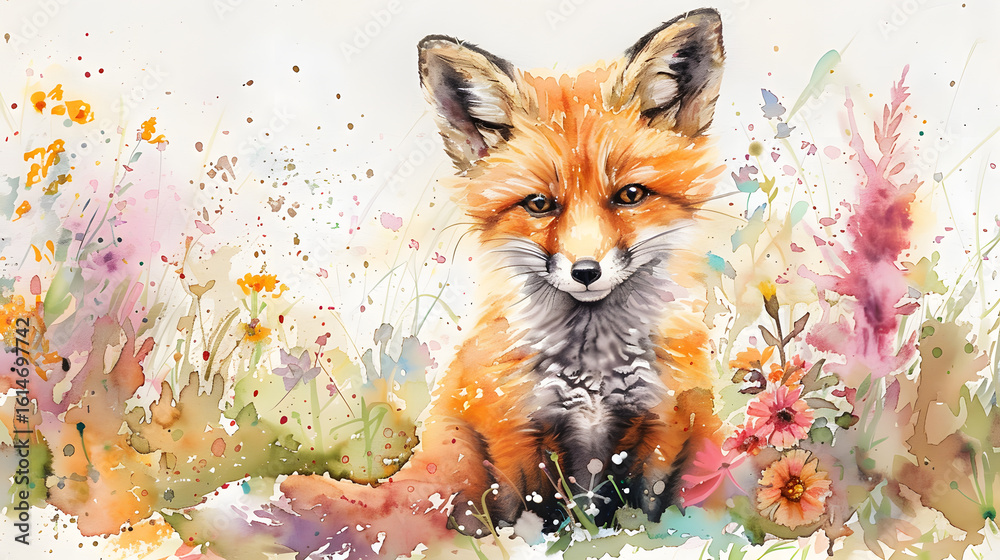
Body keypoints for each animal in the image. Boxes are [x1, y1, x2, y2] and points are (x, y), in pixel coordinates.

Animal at [279, 8, 726, 557]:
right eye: (539, 204)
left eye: (630, 195)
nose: (586, 271)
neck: (594, 375)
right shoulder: (513, 434)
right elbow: (534, 519)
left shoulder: (666, 428)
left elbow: (646, 516)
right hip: (456, 458)